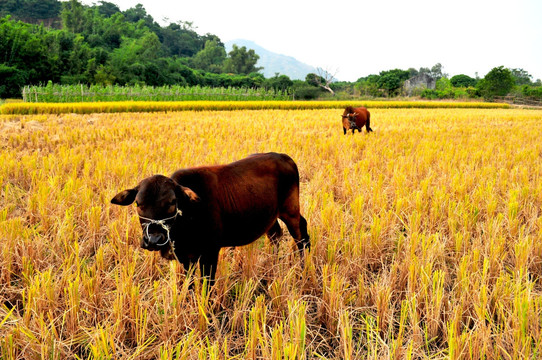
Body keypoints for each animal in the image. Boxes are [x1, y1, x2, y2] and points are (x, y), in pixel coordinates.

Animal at [111, 152, 310, 284]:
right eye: (138, 203)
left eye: (172, 202)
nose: (153, 239)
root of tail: (284, 157)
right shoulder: (186, 257)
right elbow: (189, 284)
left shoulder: (210, 252)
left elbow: (207, 284)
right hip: (270, 215)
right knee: (275, 235)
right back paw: (272, 266)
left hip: (290, 210)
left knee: (301, 235)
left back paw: (303, 268)